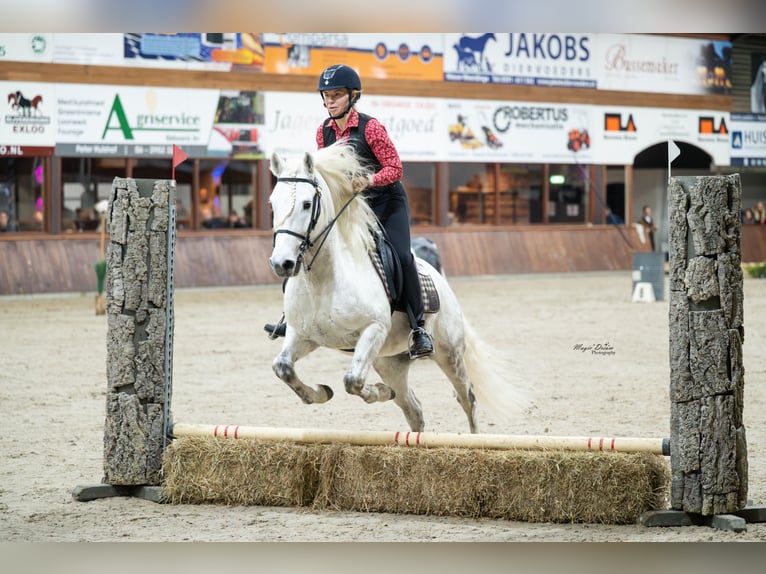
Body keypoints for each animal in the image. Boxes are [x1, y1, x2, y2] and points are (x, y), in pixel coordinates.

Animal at [267, 143, 530, 432]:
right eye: (272, 203)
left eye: (306, 204)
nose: (282, 263)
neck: (323, 281)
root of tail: (438, 277)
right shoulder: (303, 335)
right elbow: (283, 367)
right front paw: (321, 392)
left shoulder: (374, 329)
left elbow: (353, 380)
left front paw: (377, 392)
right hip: (389, 361)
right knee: (414, 410)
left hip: (449, 354)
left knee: (467, 398)